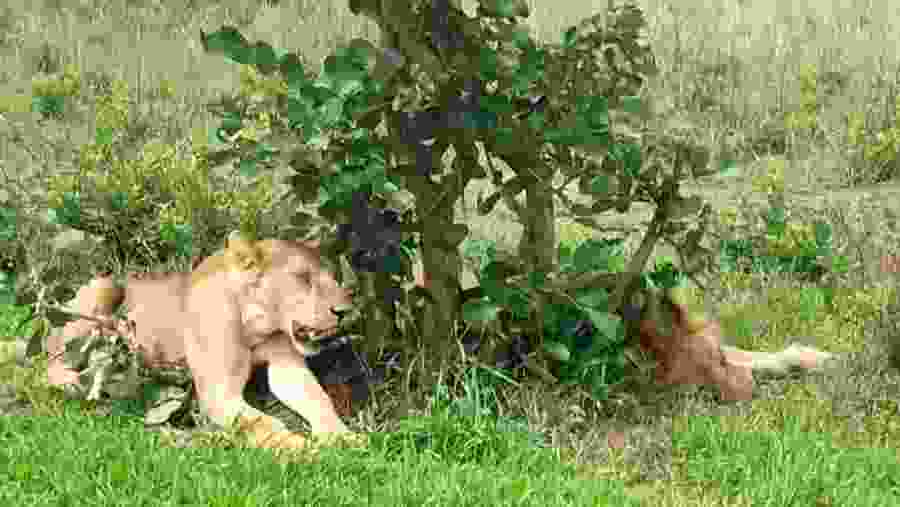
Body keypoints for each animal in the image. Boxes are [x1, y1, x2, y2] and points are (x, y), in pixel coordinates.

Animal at [46, 231, 357, 451]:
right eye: (303, 278)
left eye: (332, 277)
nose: (345, 311)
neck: (256, 326)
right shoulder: (220, 393)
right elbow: (265, 422)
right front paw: (302, 449)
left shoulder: (287, 367)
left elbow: (320, 401)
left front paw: (344, 438)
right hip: (104, 286)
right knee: (50, 361)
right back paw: (73, 382)